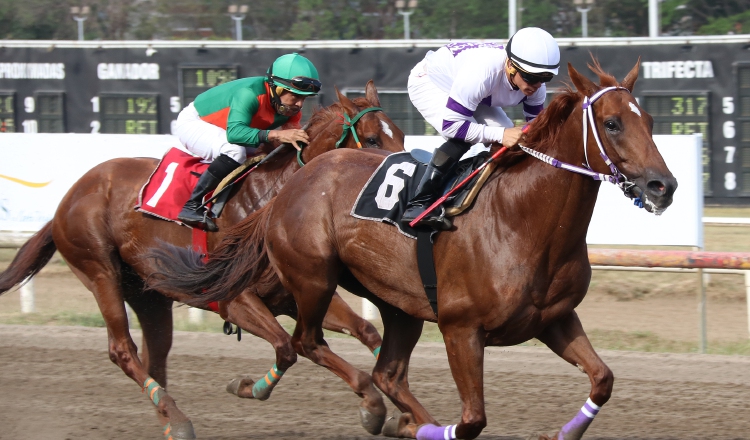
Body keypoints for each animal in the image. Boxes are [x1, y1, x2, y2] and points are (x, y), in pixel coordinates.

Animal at [0, 81, 406, 436]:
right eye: (372, 139)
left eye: (400, 135)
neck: (268, 200)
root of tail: (68, 199)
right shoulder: (234, 301)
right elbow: (287, 348)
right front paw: (370, 406)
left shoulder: (296, 293)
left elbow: (363, 330)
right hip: (100, 271)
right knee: (123, 350)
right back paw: (178, 420)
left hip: (149, 295)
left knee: (156, 354)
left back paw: (168, 418)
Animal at [147, 59, 680, 440]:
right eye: (612, 123)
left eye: (651, 119)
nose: (664, 186)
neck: (520, 220)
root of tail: (293, 183)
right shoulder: (461, 330)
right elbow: (471, 421)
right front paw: (414, 426)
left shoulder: (554, 319)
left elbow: (603, 380)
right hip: (312, 278)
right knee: (304, 342)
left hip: (399, 304)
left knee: (386, 373)